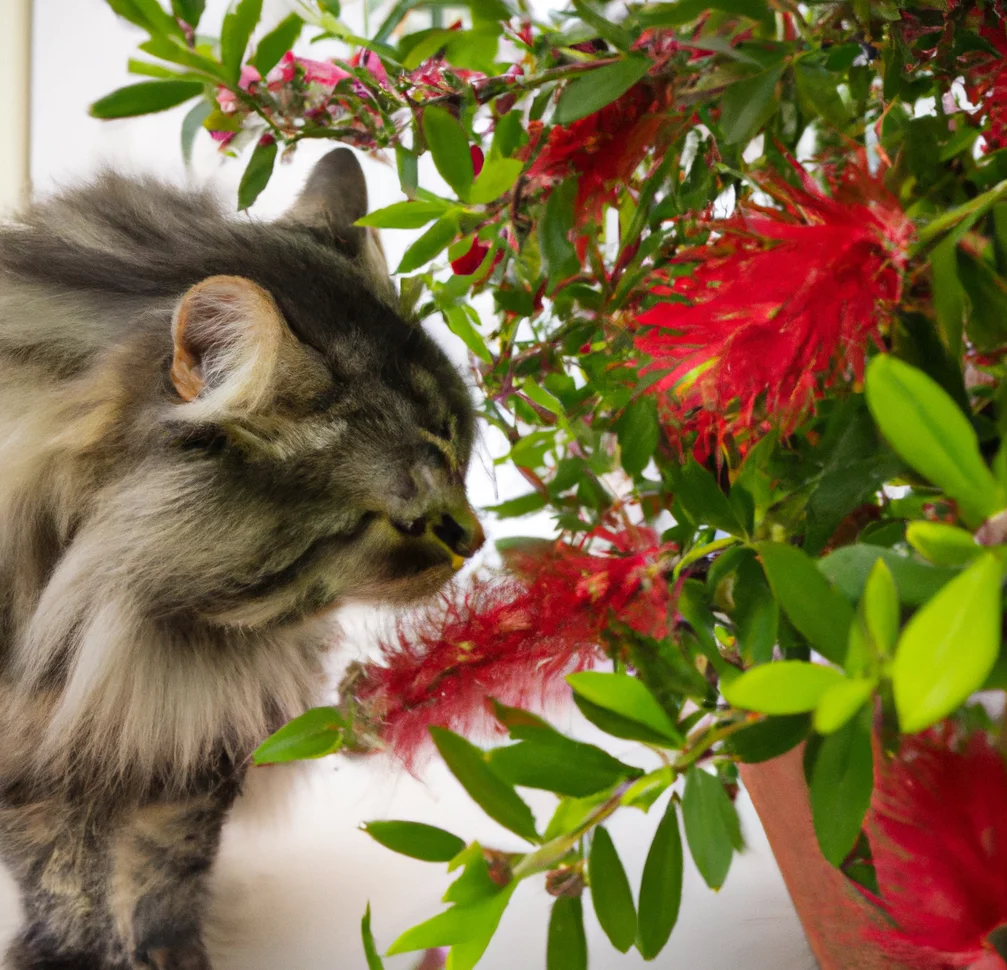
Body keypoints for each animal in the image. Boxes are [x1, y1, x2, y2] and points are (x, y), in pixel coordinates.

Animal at [0, 146, 483, 970]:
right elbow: (66, 880)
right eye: (405, 518)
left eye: (462, 461)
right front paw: (72, 955)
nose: (476, 539)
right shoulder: (35, 760)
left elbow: (162, 868)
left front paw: (168, 953)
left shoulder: (193, 731)